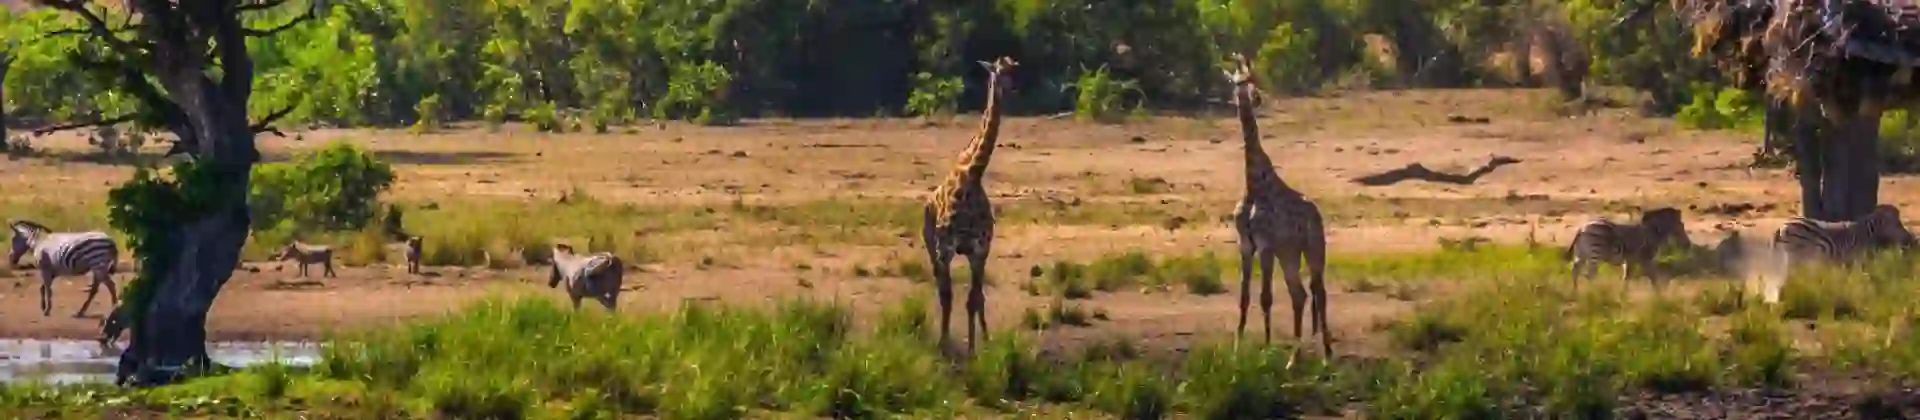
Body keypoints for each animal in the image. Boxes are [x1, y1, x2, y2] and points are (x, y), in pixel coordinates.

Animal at [923, 56, 1017, 353]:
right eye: (999, 72)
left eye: (1014, 70)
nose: (1011, 90)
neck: (974, 172)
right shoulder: (945, 248)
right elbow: (949, 296)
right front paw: (944, 344)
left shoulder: (979, 250)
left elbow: (973, 300)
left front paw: (976, 349)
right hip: (931, 246)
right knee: (941, 287)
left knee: (976, 296)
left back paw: (983, 339)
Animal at [1225, 53, 1332, 355]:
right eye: (1236, 83)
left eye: (1252, 79)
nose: (1254, 98)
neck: (1255, 186)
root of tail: (1318, 214)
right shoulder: (1246, 245)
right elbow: (1244, 297)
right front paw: (1237, 348)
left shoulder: (1265, 245)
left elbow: (1266, 297)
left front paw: (1266, 347)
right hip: (1289, 254)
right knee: (1301, 294)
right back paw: (1297, 352)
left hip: (1313, 249)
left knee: (1320, 292)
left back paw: (1327, 353)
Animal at [1566, 207, 1694, 290]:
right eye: (1681, 226)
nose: (1688, 245)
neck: (1653, 232)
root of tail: (1582, 228)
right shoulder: (1646, 259)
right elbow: (1652, 277)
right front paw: (1659, 295)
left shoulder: (1629, 260)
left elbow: (1626, 277)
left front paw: (1623, 295)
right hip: (1595, 253)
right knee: (1590, 275)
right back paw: (1593, 292)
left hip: (1581, 254)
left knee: (1575, 270)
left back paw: (1575, 292)